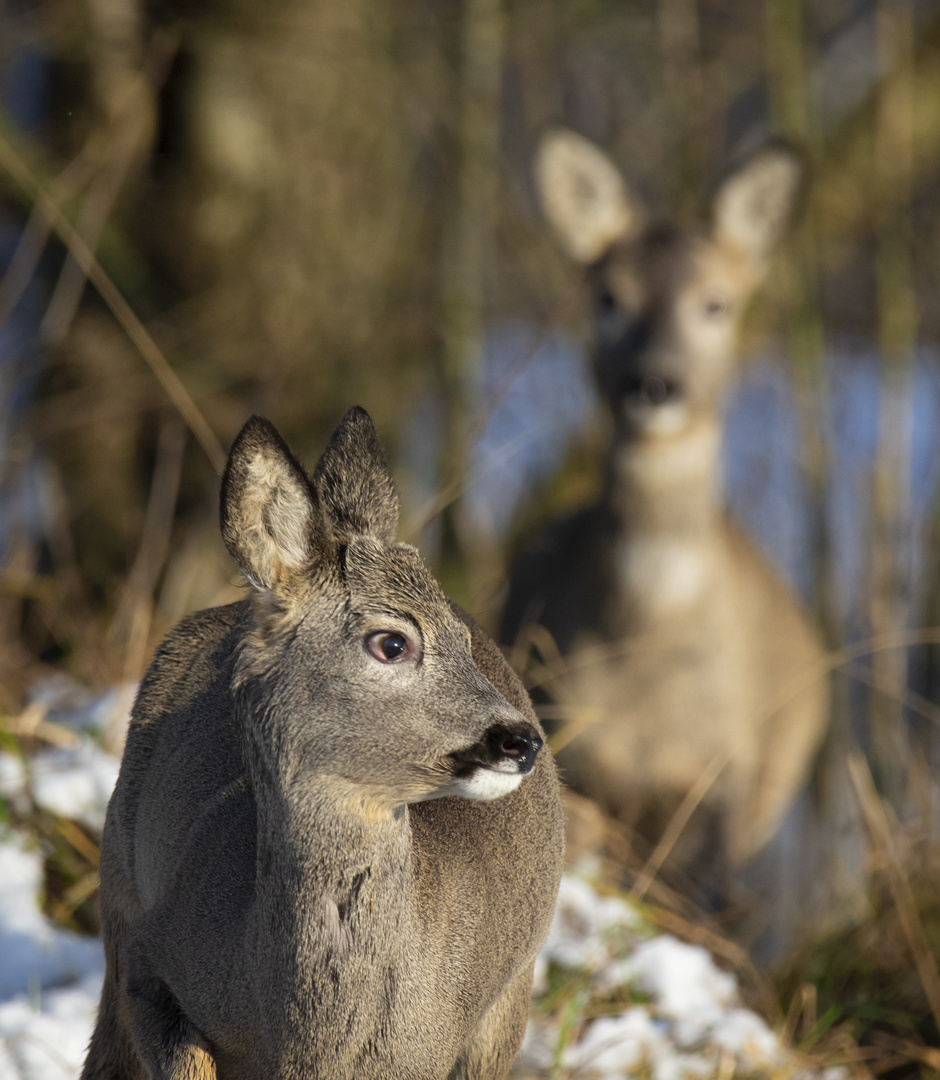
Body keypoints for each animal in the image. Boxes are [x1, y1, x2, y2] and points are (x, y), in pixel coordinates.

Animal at [84, 406, 561, 1080]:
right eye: (392, 642)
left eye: (463, 641)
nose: (521, 740)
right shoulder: (149, 961)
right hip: (116, 887)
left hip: (511, 1001)